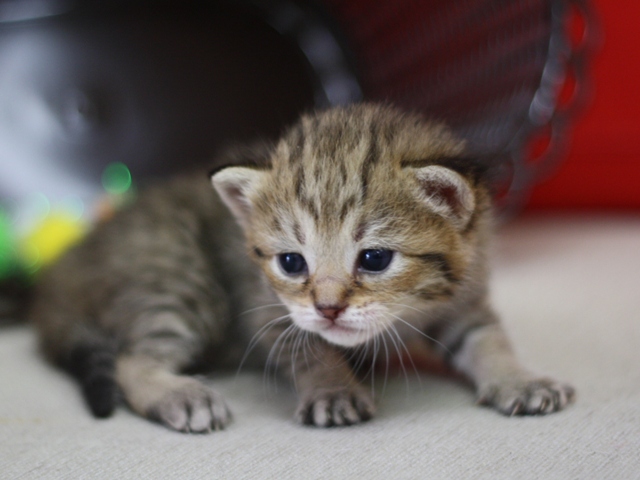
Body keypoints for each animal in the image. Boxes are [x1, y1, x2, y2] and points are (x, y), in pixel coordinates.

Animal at [28, 104, 576, 432]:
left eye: (374, 259)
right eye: (292, 262)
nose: (329, 308)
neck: (410, 310)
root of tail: (61, 276)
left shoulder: (466, 296)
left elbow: (489, 340)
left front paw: (520, 379)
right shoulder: (268, 308)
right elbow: (309, 349)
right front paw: (333, 388)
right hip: (179, 282)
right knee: (130, 361)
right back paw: (180, 395)